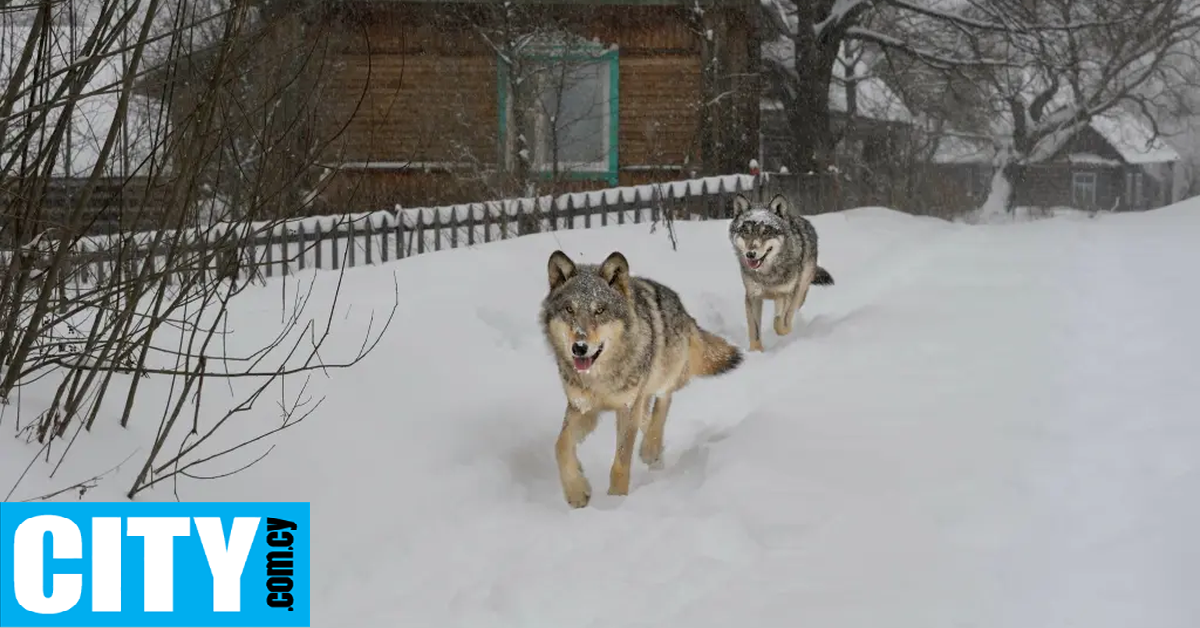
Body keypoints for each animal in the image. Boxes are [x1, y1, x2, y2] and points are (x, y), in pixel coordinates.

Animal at [720, 194, 835, 350]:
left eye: (765, 232)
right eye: (746, 232)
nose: (750, 254)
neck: (768, 275)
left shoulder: (788, 293)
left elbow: (780, 321)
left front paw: (785, 331)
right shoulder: (753, 296)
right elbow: (755, 331)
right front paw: (756, 352)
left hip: (800, 290)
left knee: (790, 311)